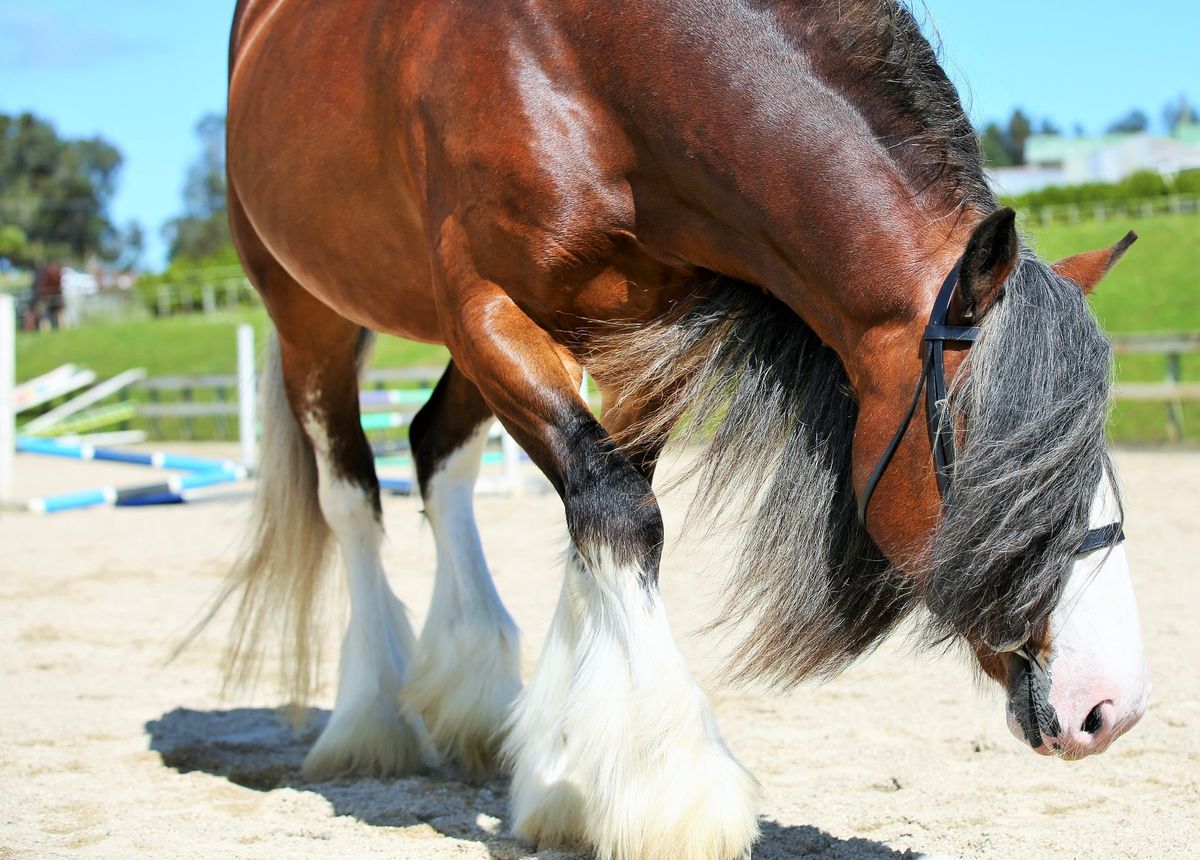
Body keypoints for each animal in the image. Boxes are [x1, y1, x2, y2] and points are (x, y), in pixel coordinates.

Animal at [216, 3, 1152, 854]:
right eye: (1011, 467)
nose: (1112, 706)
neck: (589, 61)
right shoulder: (484, 305)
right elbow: (619, 514)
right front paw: (675, 798)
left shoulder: (640, 334)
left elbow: (598, 523)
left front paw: (565, 779)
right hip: (311, 316)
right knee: (352, 497)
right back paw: (371, 719)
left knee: (435, 454)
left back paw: (473, 700)